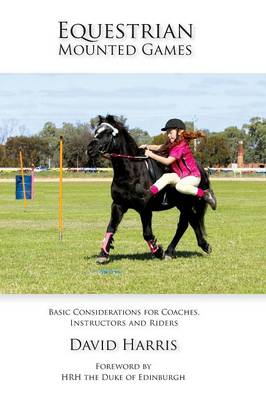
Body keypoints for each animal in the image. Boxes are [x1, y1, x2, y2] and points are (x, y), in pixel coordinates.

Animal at [88, 114, 214, 264]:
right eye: (96, 131)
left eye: (107, 132)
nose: (89, 149)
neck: (131, 172)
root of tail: (200, 169)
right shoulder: (118, 205)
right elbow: (111, 228)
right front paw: (103, 254)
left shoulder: (145, 209)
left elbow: (147, 234)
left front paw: (158, 251)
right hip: (182, 204)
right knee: (189, 223)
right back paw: (177, 250)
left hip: (187, 203)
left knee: (187, 223)